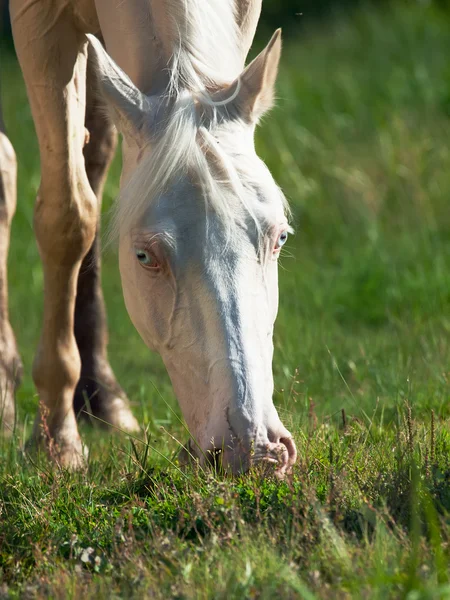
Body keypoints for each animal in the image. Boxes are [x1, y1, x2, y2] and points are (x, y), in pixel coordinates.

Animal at [0, 0, 298, 476]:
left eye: (280, 238)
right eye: (144, 256)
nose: (255, 451)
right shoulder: (39, 24)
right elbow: (68, 215)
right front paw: (57, 442)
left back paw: (100, 395)